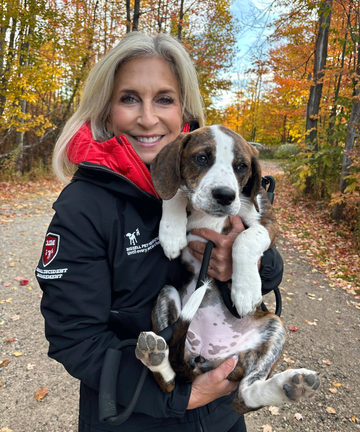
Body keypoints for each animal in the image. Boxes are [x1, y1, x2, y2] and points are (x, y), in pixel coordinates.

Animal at [136, 125, 320, 416]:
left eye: (242, 166)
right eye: (201, 158)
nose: (225, 195)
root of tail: (207, 355)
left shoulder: (266, 219)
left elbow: (245, 238)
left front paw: (246, 291)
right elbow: (175, 192)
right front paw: (171, 234)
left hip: (274, 325)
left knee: (243, 397)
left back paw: (291, 386)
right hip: (167, 296)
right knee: (172, 382)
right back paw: (155, 357)